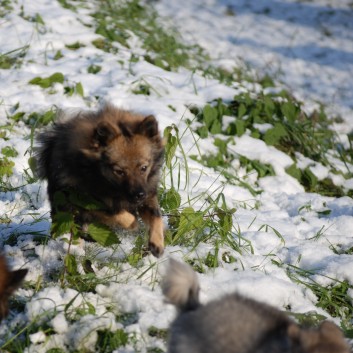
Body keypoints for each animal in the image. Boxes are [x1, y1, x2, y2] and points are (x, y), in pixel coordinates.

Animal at [36, 102, 166, 256]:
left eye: (144, 168)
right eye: (119, 171)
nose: (139, 195)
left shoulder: (148, 194)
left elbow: (156, 216)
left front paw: (157, 243)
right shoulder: (87, 202)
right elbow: (118, 213)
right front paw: (134, 224)